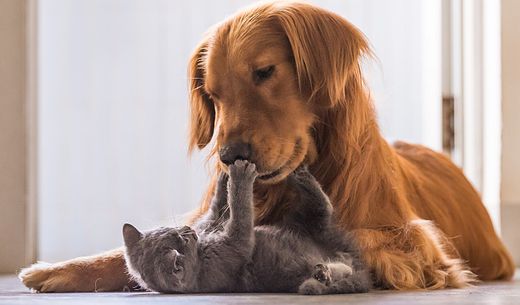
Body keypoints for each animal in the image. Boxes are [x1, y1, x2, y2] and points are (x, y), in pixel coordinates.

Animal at [124, 160, 372, 294]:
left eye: (173, 232)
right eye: (181, 243)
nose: (188, 232)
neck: (202, 253)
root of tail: (358, 262)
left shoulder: (210, 224)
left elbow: (217, 209)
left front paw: (223, 175)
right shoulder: (232, 249)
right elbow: (240, 213)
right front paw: (239, 174)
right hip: (315, 228)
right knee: (324, 211)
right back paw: (323, 273)